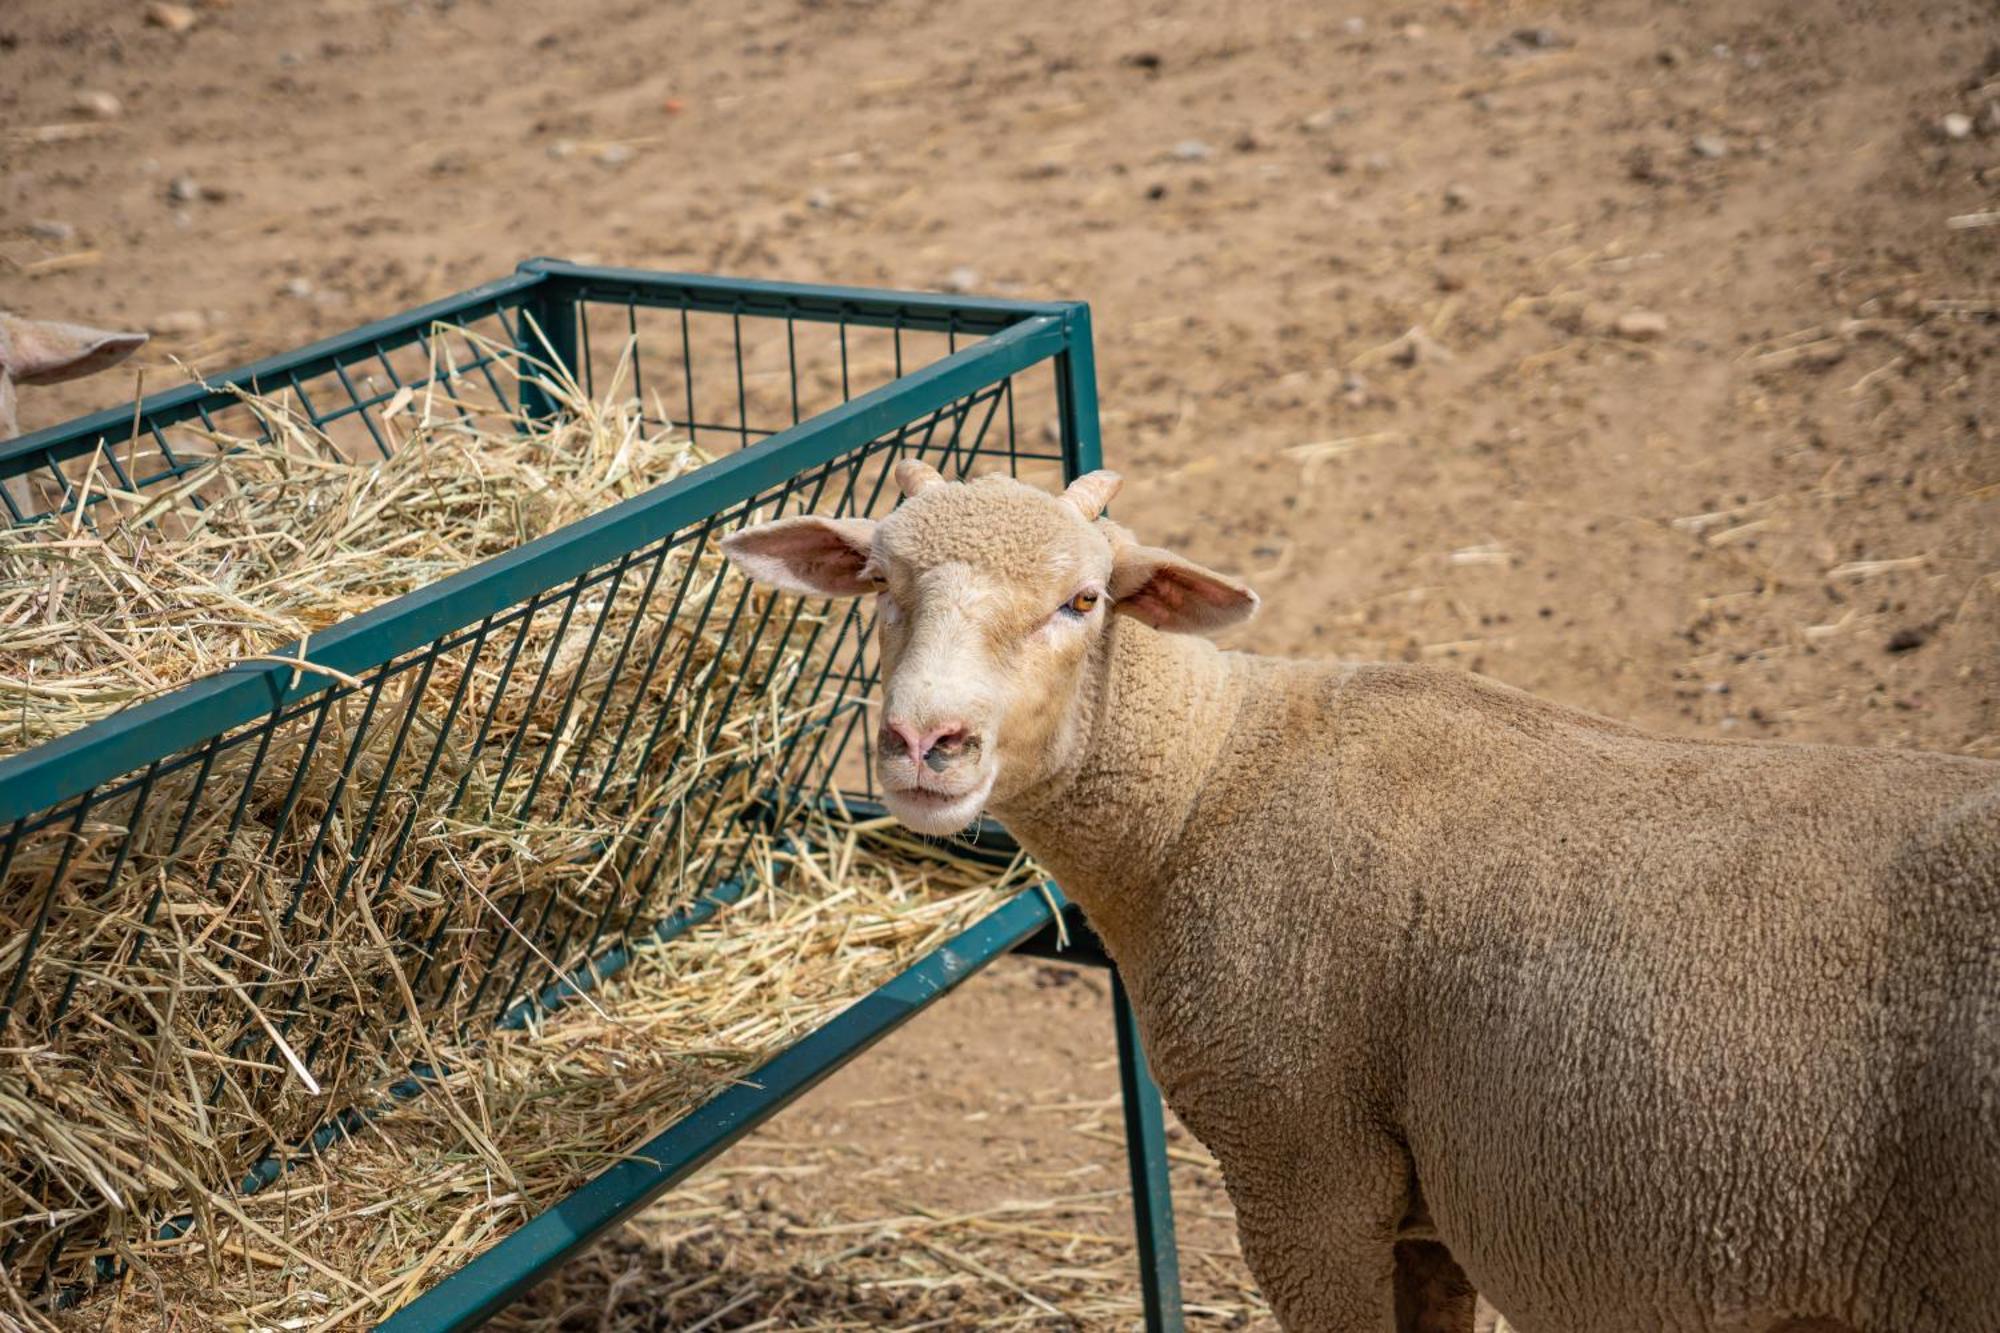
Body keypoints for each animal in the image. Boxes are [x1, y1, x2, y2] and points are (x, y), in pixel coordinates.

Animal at [724, 460, 2000, 1328]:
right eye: (877, 581)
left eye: (1082, 602)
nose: (922, 743)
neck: (1203, 785)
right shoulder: (1417, 1203)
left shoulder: (1303, 1166)